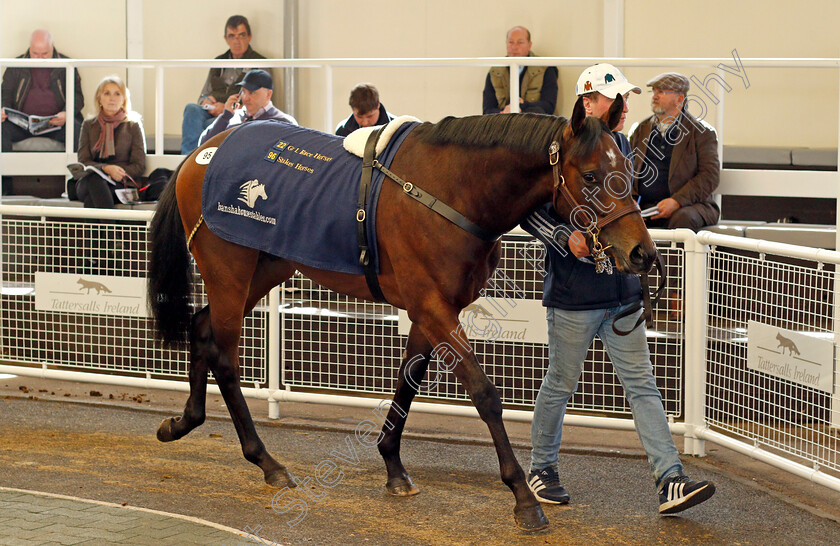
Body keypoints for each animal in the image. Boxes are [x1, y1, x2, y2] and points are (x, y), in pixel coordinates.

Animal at [146, 95, 656, 528]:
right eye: (589, 175)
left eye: (630, 171)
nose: (642, 254)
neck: (448, 189)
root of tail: (200, 154)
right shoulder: (432, 305)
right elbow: (484, 394)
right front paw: (523, 498)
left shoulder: (431, 308)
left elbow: (409, 379)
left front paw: (393, 465)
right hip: (229, 270)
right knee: (225, 359)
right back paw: (265, 460)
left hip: (265, 265)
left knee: (202, 328)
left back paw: (184, 422)